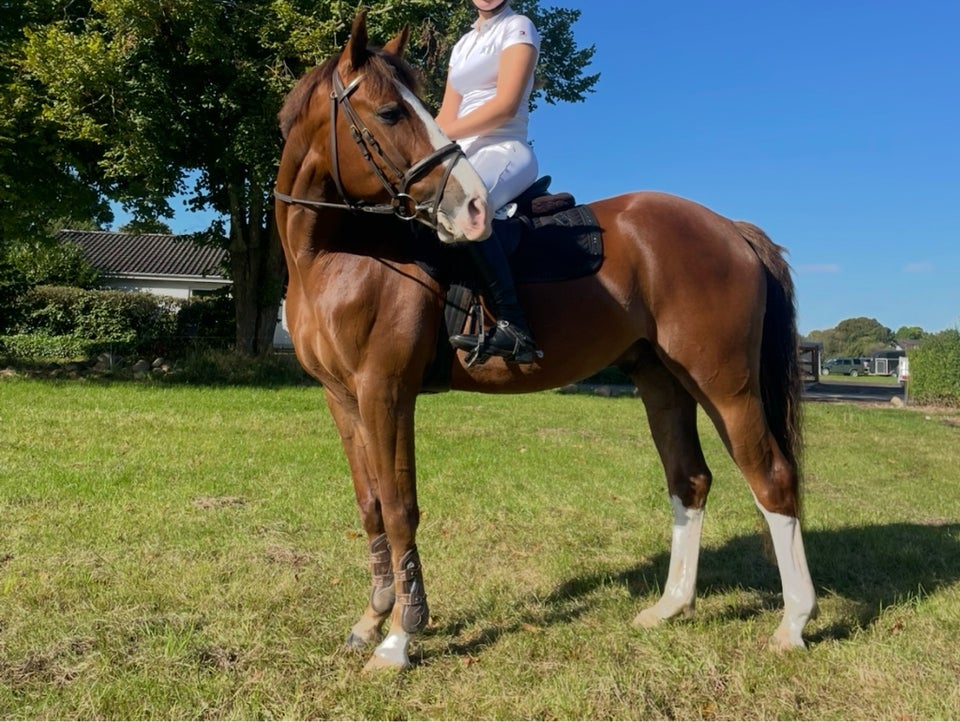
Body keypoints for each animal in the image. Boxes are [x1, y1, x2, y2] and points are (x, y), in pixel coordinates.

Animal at [276, 14, 816, 668]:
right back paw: (669, 608)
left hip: (726, 385)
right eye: (388, 112)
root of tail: (729, 228)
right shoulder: (343, 397)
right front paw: (372, 618)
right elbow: (372, 505)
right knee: (689, 480)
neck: (335, 255)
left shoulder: (386, 391)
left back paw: (793, 625)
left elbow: (401, 507)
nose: (471, 206)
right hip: (663, 380)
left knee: (773, 480)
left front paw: (400, 638)